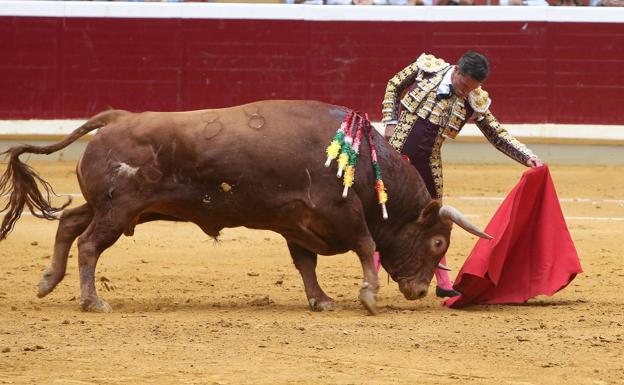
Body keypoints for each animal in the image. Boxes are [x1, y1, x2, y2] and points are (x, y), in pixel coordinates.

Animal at [0, 100, 488, 314]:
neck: (365, 165)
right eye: (438, 242)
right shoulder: (341, 213)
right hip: (118, 212)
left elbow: (306, 264)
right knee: (88, 244)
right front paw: (367, 296)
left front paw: (321, 300)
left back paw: (48, 281)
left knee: (68, 222)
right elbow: (367, 246)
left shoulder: (297, 224)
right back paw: (92, 301)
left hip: (107, 206)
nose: (420, 291)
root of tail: (118, 117)